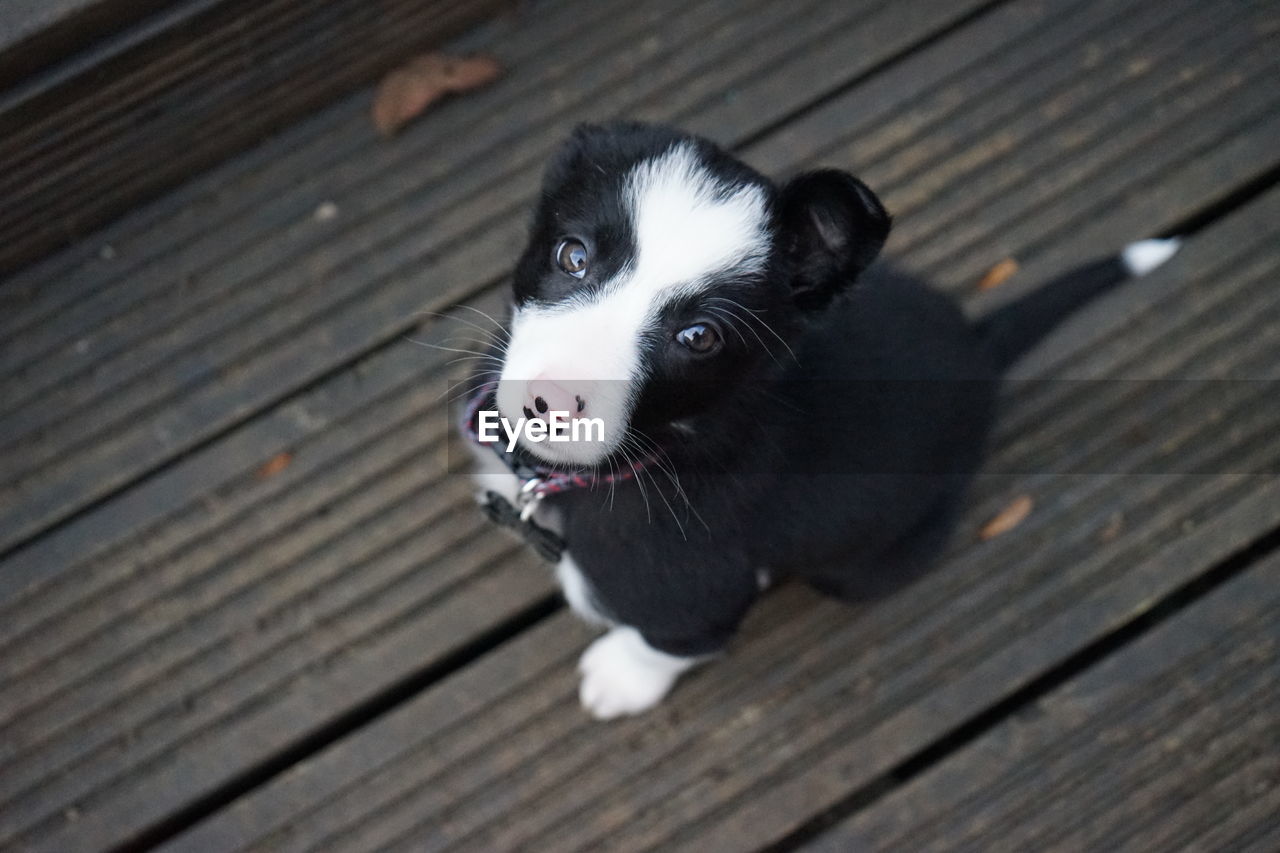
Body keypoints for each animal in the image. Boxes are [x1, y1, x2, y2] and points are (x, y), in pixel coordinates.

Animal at [465, 121, 1182, 717]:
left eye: (698, 337)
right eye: (573, 256)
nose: (549, 404)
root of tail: (979, 350)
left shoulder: (698, 598)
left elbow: (669, 644)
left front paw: (619, 679)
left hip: (864, 563)